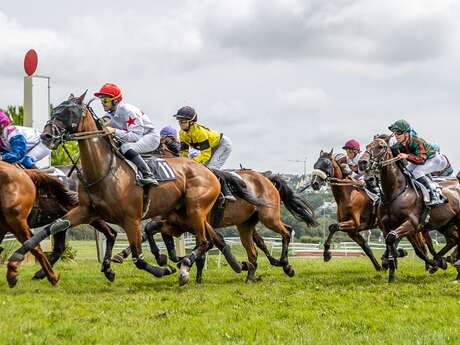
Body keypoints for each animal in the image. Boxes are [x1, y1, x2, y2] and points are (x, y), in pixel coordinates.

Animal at [9, 90, 241, 284]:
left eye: (70, 112)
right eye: (56, 109)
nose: (46, 136)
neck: (104, 171)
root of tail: (209, 171)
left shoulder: (131, 219)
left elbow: (139, 257)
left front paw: (162, 269)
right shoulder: (85, 210)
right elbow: (53, 227)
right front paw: (15, 260)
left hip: (196, 209)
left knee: (204, 242)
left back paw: (186, 268)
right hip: (186, 211)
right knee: (209, 241)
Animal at [113, 170, 318, 282]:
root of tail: (267, 178)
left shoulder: (198, 224)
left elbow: (210, 244)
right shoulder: (174, 224)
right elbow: (150, 231)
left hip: (269, 217)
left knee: (286, 232)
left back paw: (285, 265)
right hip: (245, 225)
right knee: (253, 249)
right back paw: (251, 275)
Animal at [360, 136, 460, 280]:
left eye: (380, 146)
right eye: (367, 146)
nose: (362, 162)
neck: (395, 193)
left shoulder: (411, 224)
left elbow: (395, 240)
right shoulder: (387, 226)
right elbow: (392, 243)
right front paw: (391, 273)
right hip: (445, 224)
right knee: (454, 240)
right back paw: (444, 261)